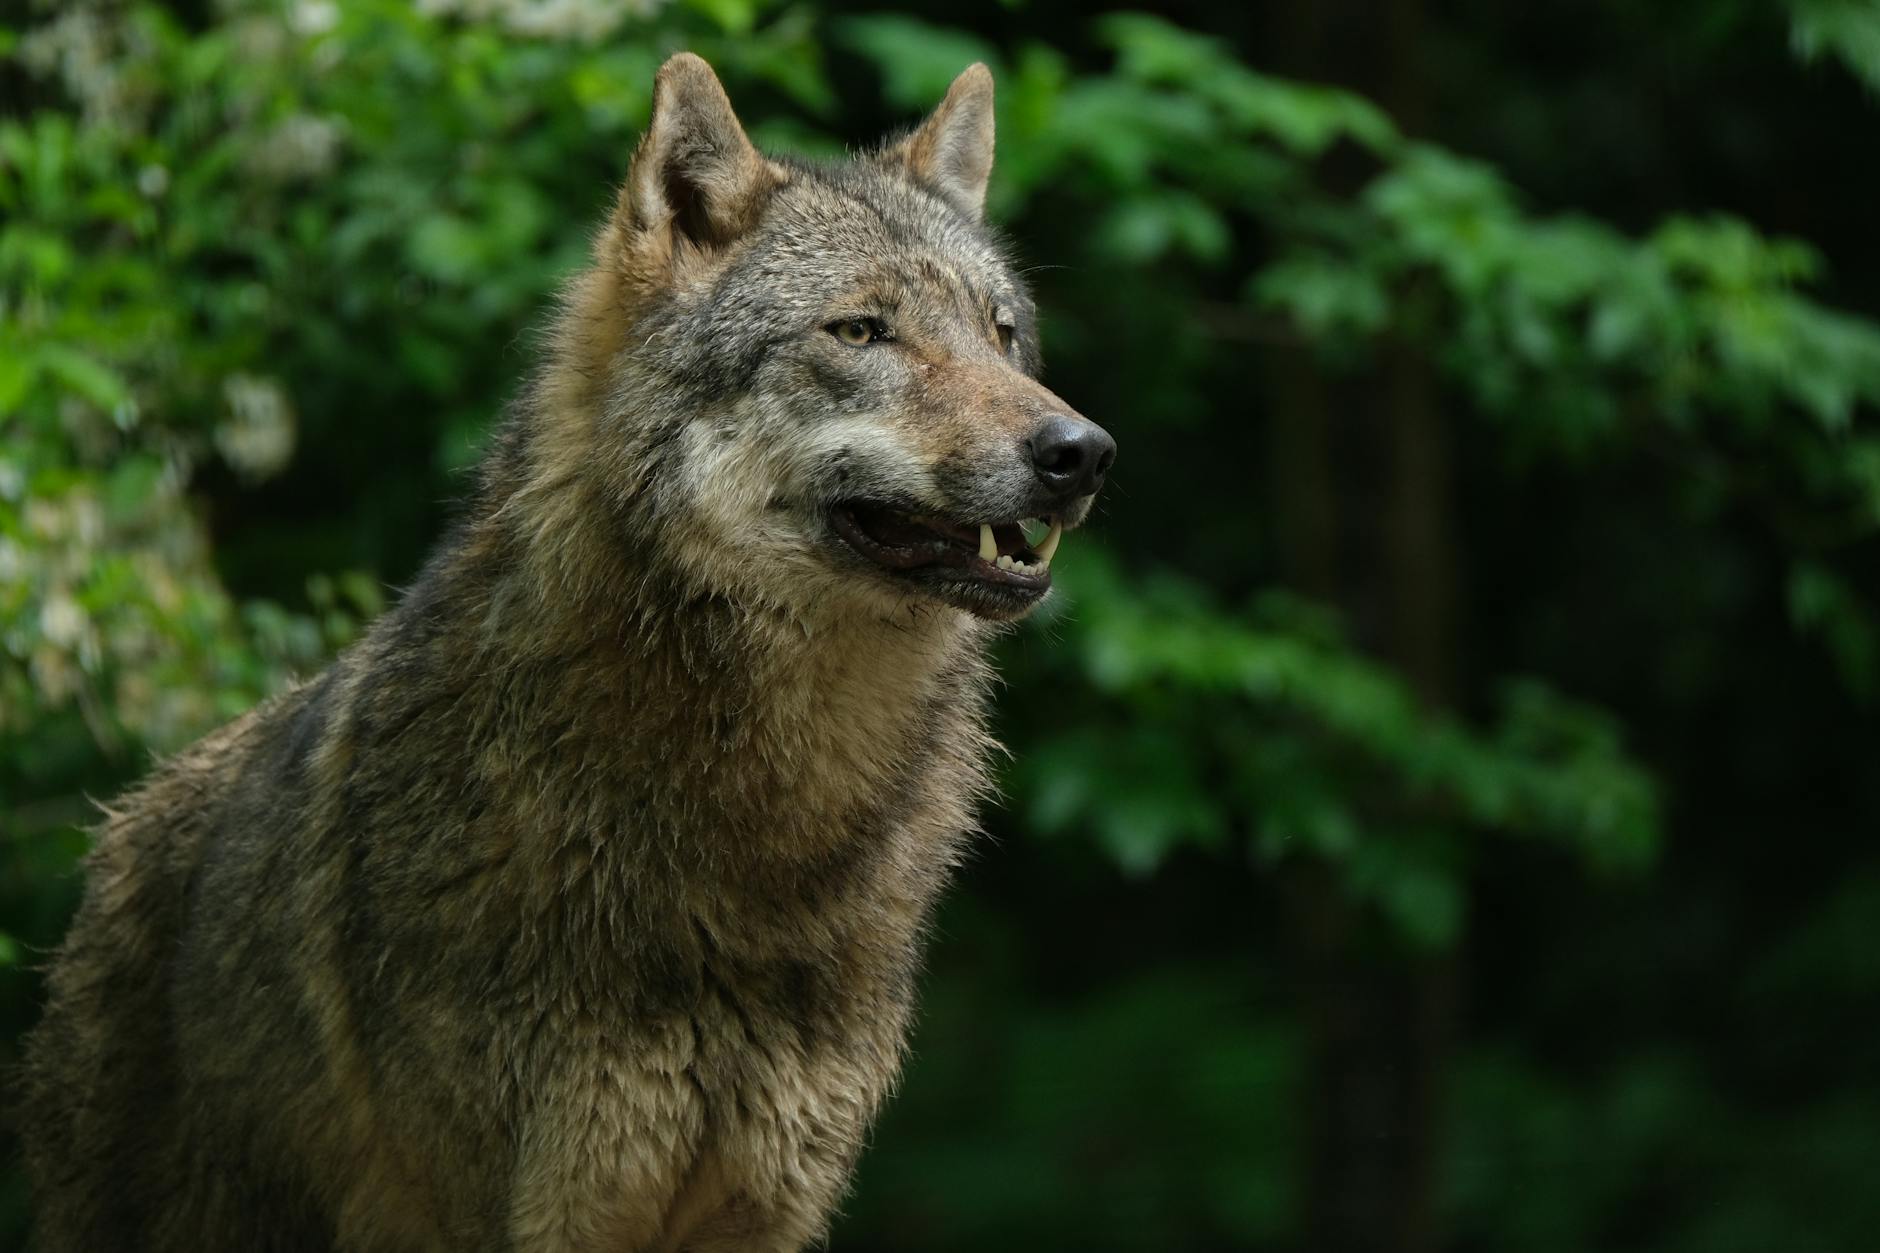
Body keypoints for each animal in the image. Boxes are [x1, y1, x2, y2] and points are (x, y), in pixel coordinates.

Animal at [19, 52, 1112, 1253]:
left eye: (1001, 333)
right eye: (861, 332)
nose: (1080, 452)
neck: (759, 841)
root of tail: (116, 836)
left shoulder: (765, 1208)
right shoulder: (536, 1209)